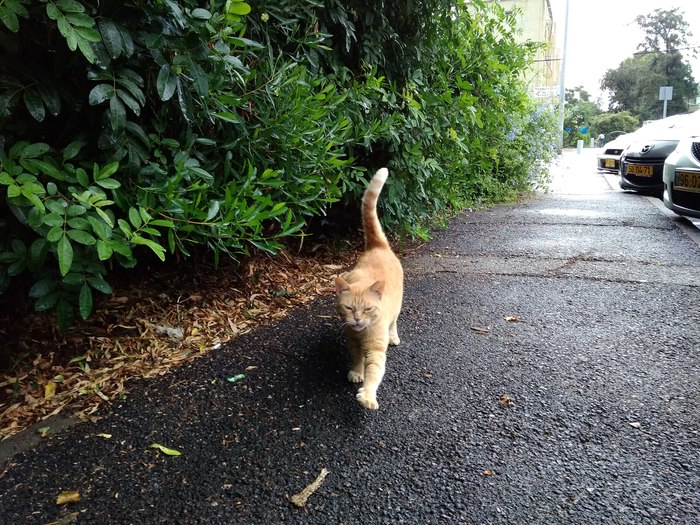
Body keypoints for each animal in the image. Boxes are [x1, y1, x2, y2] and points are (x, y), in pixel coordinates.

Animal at [334, 168, 404, 410]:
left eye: (367, 309)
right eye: (348, 308)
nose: (356, 319)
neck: (361, 333)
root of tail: (378, 246)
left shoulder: (375, 350)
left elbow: (374, 373)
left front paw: (368, 396)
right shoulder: (352, 343)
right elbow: (357, 361)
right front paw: (357, 372)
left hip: (397, 308)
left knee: (394, 322)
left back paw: (394, 336)